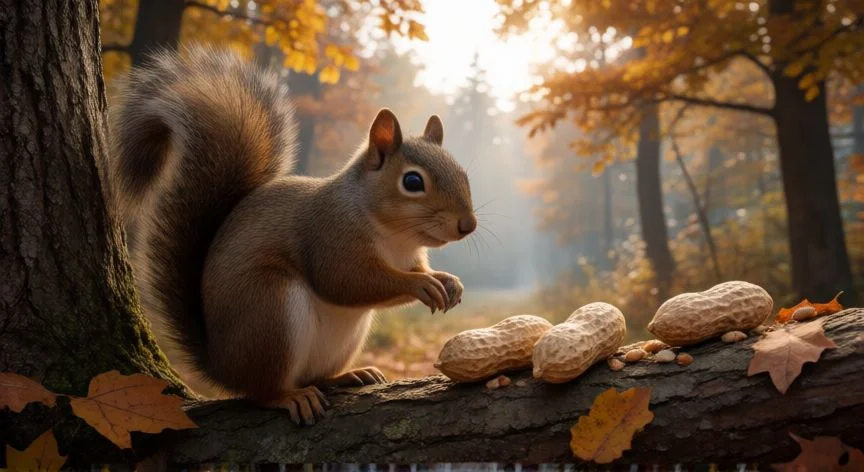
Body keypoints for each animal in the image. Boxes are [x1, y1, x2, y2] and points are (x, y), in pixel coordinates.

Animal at [107, 45, 476, 425]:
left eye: (463, 174)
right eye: (413, 181)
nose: (468, 225)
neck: (395, 237)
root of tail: (220, 366)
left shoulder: (410, 255)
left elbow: (414, 270)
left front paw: (447, 280)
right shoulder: (330, 236)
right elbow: (346, 281)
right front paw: (420, 285)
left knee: (314, 377)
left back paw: (348, 375)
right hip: (270, 311)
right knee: (260, 391)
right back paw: (288, 397)